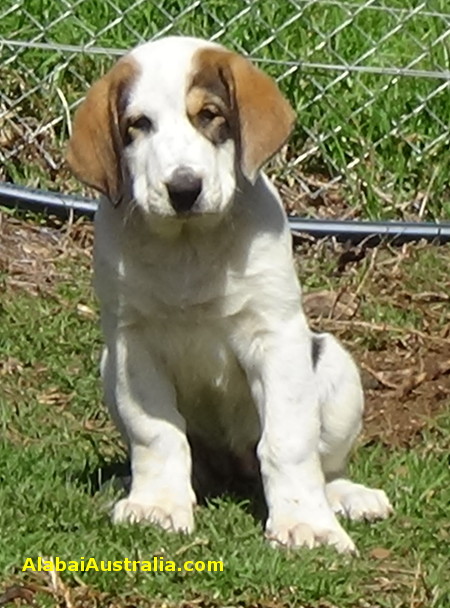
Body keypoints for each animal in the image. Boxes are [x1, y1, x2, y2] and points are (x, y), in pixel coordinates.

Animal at [66, 35, 390, 552]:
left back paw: (348, 496)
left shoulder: (275, 337)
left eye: (209, 114)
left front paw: (306, 523)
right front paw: (158, 504)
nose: (183, 189)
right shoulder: (133, 345)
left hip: (335, 367)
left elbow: (288, 441)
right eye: (139, 124)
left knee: (325, 466)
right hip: (108, 364)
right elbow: (157, 435)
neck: (189, 247)